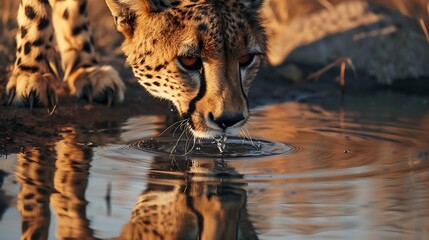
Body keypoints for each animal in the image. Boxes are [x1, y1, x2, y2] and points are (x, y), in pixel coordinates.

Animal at [7, 0, 264, 139]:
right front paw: (31, 73)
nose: (228, 120)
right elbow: (33, 11)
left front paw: (86, 69)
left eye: (246, 58)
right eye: (189, 60)